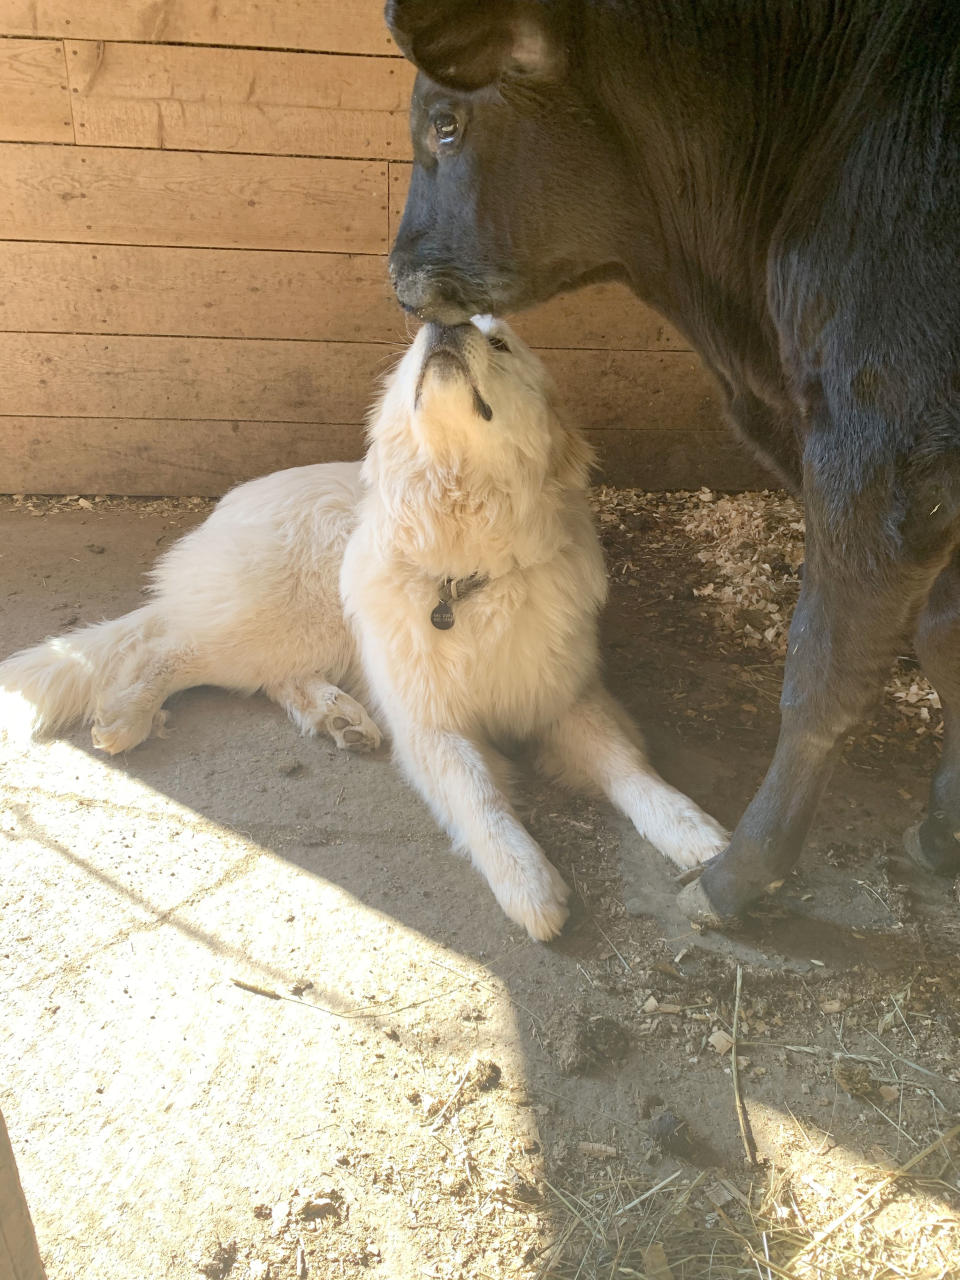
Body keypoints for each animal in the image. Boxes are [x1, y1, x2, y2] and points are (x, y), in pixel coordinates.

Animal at [0, 317, 727, 942]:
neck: (463, 574)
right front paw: (529, 884)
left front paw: (697, 835)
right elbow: (481, 798)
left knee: (263, 676)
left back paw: (337, 716)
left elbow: (632, 772)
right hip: (291, 616)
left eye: (501, 341)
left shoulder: (565, 699)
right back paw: (127, 715)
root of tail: (227, 508)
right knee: (168, 649)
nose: (442, 319)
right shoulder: (432, 725)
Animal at [386, 0, 960, 926]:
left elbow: (824, 672)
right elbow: (946, 637)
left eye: (445, 123)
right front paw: (945, 830)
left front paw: (740, 874)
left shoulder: (885, 439)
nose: (399, 275)